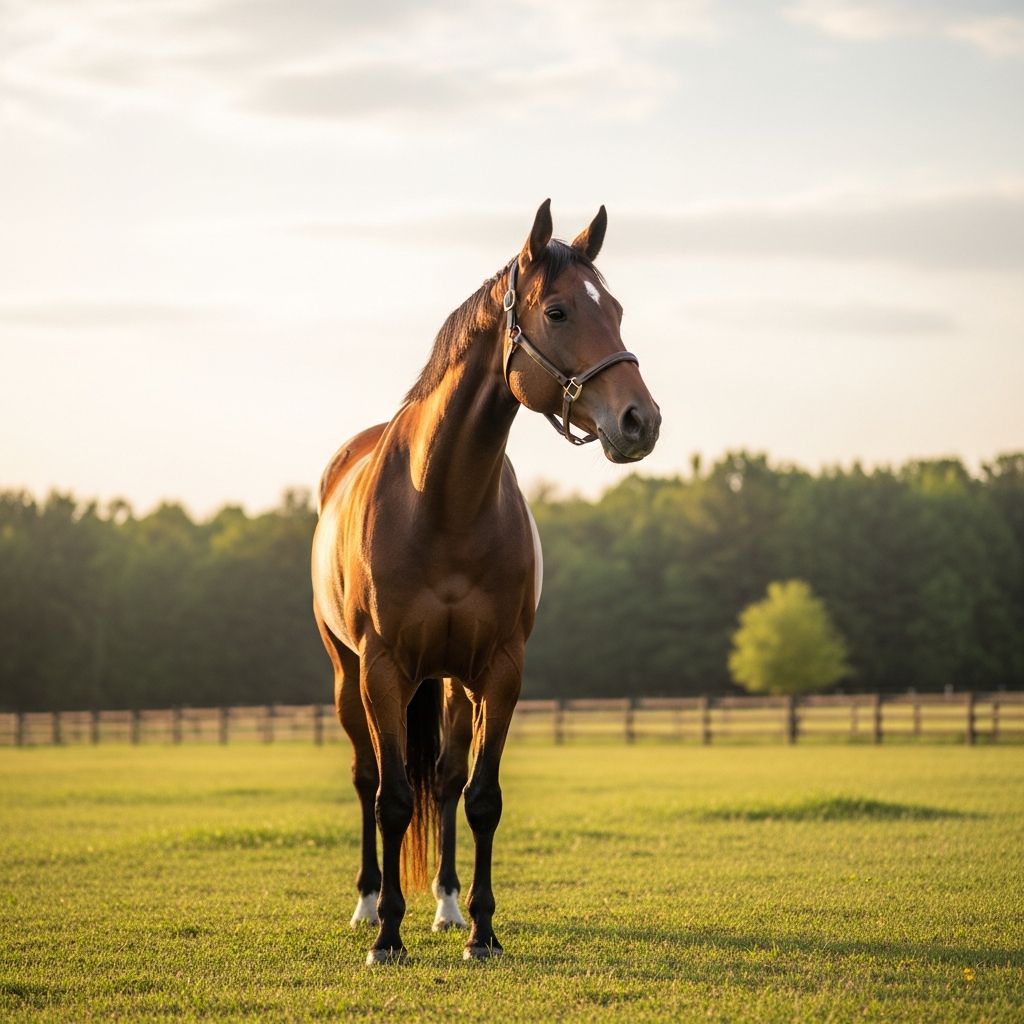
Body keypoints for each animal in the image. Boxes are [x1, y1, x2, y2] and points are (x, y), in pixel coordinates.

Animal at [310, 200, 660, 964]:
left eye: (618, 310)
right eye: (558, 311)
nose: (640, 421)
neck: (442, 501)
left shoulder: (499, 671)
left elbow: (480, 797)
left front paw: (482, 930)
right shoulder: (383, 669)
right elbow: (391, 799)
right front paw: (387, 936)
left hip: (448, 681)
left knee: (443, 781)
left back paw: (442, 906)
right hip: (348, 673)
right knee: (367, 777)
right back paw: (368, 902)